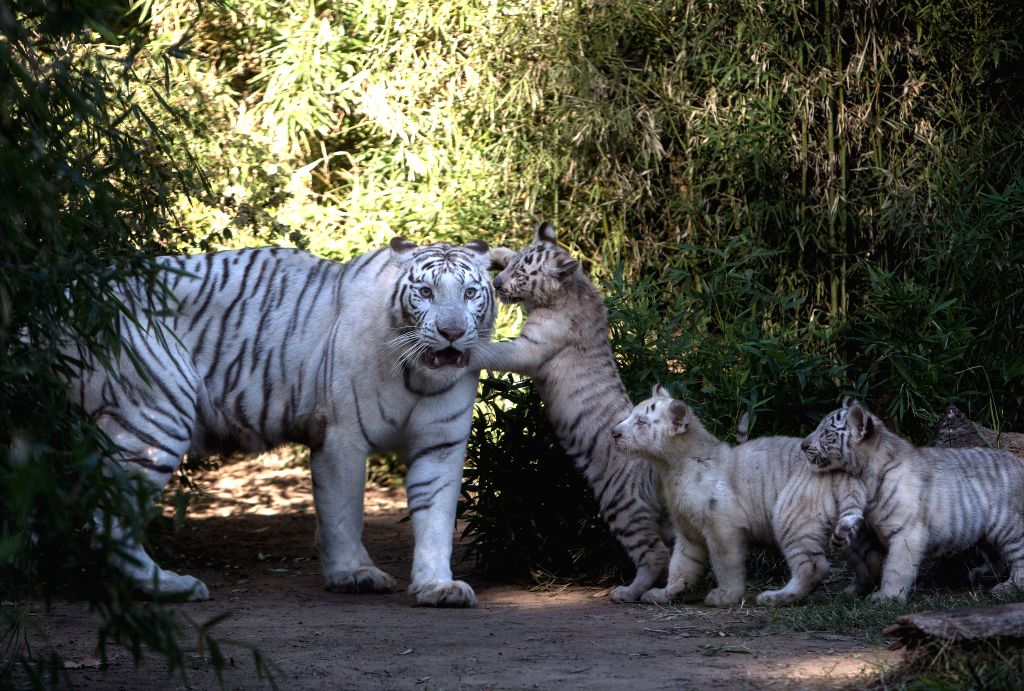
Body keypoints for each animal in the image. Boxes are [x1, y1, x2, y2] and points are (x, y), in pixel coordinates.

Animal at [71, 238, 496, 607]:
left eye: (470, 293)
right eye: (425, 292)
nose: (452, 332)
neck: (419, 377)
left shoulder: (440, 447)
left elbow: (436, 519)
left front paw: (437, 586)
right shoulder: (342, 436)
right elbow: (344, 512)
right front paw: (352, 573)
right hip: (158, 414)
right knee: (108, 518)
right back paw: (169, 586)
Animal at [478, 221, 669, 602]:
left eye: (521, 274)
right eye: (512, 267)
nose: (497, 283)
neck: (568, 288)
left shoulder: (531, 348)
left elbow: (498, 353)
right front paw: (492, 250)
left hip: (622, 506)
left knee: (656, 554)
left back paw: (628, 592)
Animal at [612, 385, 868, 607]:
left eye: (641, 421)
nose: (614, 432)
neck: (670, 467)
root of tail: (843, 471)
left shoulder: (722, 525)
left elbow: (724, 562)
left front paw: (725, 596)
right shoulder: (687, 528)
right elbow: (682, 562)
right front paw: (667, 592)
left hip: (791, 513)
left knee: (813, 565)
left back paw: (775, 597)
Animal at [801, 397, 1024, 602]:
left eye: (827, 433)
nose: (803, 445)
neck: (864, 475)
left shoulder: (906, 530)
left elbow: (896, 567)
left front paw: (886, 597)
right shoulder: (868, 532)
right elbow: (864, 565)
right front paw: (854, 590)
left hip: (1008, 525)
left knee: (1019, 555)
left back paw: (1010, 587)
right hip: (986, 530)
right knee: (997, 554)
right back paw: (981, 574)